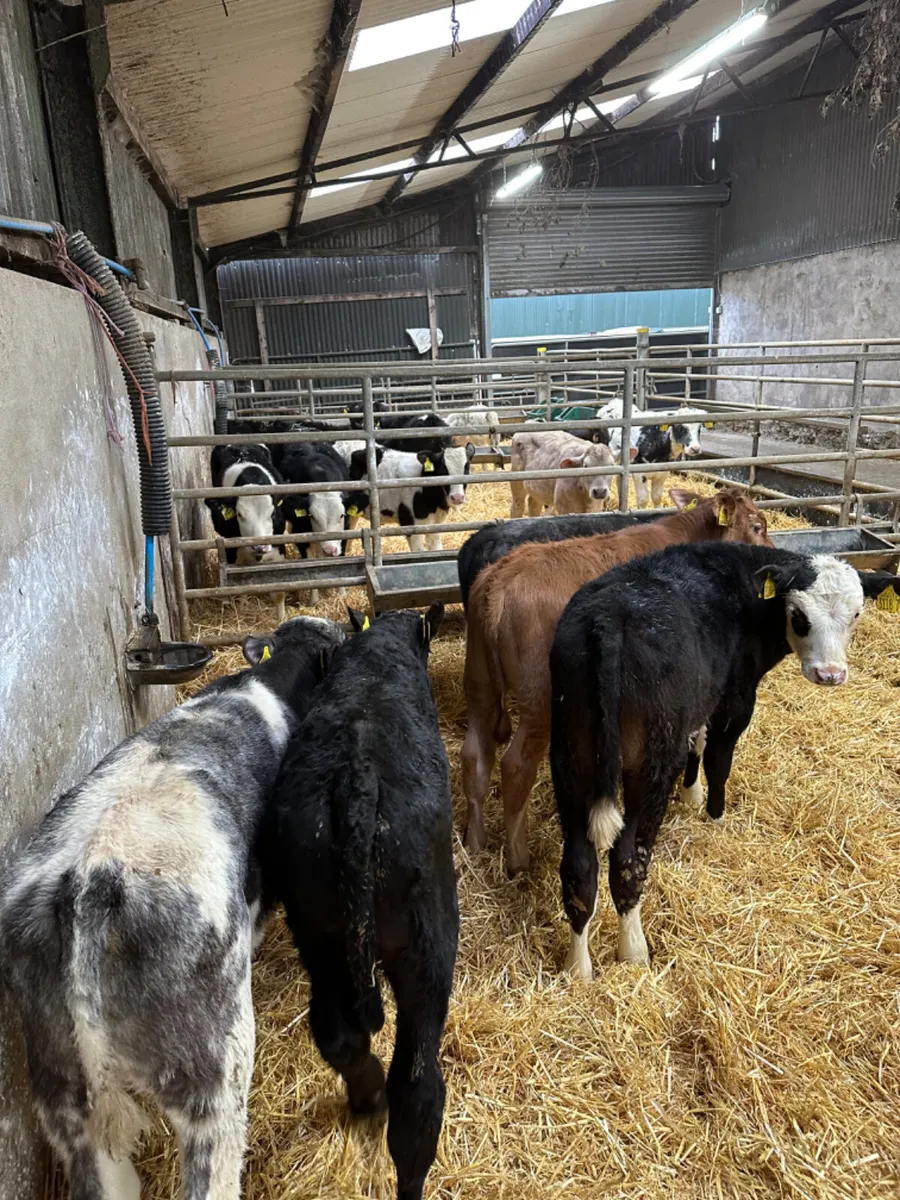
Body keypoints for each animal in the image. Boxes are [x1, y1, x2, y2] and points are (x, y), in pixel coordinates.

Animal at [257, 605, 457, 1200]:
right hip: (427, 947)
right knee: (417, 1089)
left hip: (317, 936)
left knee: (336, 1031)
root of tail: (356, 782)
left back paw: (367, 1096)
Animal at [461, 489, 772, 874]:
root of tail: (499, 581)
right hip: (540, 699)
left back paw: (475, 843)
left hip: (479, 682)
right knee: (516, 766)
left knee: (474, 754)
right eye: (757, 526)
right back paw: (519, 858)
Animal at [550, 544, 900, 979]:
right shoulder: (735, 702)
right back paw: (634, 950)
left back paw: (577, 968)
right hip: (648, 769)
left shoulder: (704, 701)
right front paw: (715, 814)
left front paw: (692, 795)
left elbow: (697, 742)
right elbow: (718, 760)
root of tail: (607, 622)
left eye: (856, 614)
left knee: (579, 870)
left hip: (570, 761)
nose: (830, 674)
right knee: (627, 861)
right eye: (799, 616)